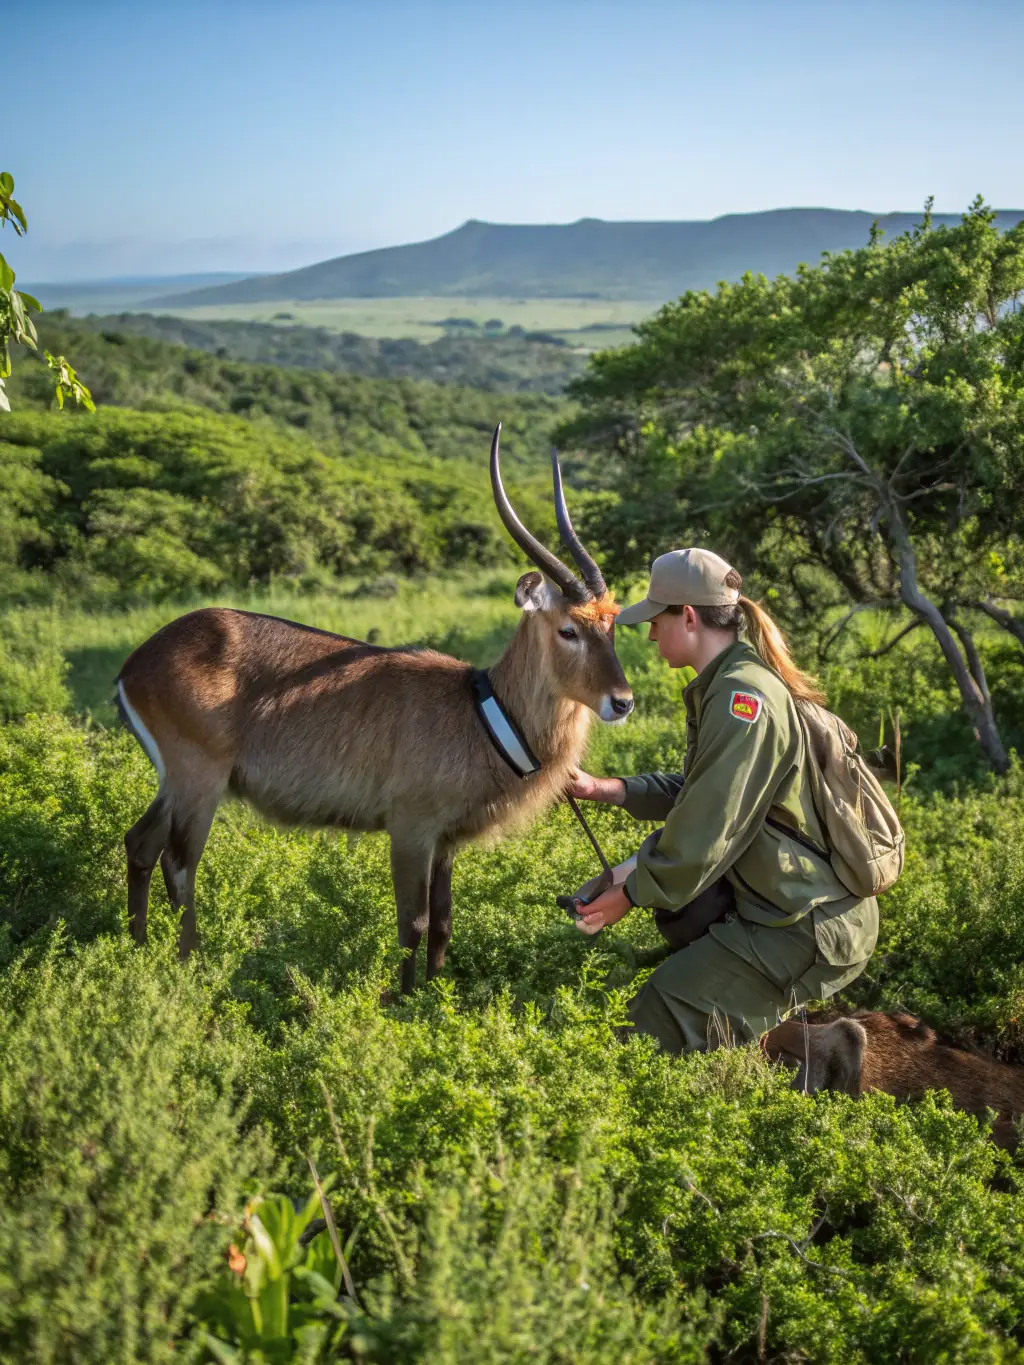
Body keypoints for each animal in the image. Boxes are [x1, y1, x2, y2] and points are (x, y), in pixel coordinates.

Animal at [115, 424, 633, 992]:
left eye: (613, 623)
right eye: (568, 629)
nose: (622, 701)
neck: (485, 712)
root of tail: (138, 661)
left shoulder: (446, 841)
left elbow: (444, 923)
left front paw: (433, 997)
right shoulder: (410, 830)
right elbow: (414, 923)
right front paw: (403, 1002)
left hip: (176, 784)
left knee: (140, 844)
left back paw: (136, 949)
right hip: (198, 783)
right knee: (179, 863)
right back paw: (189, 968)